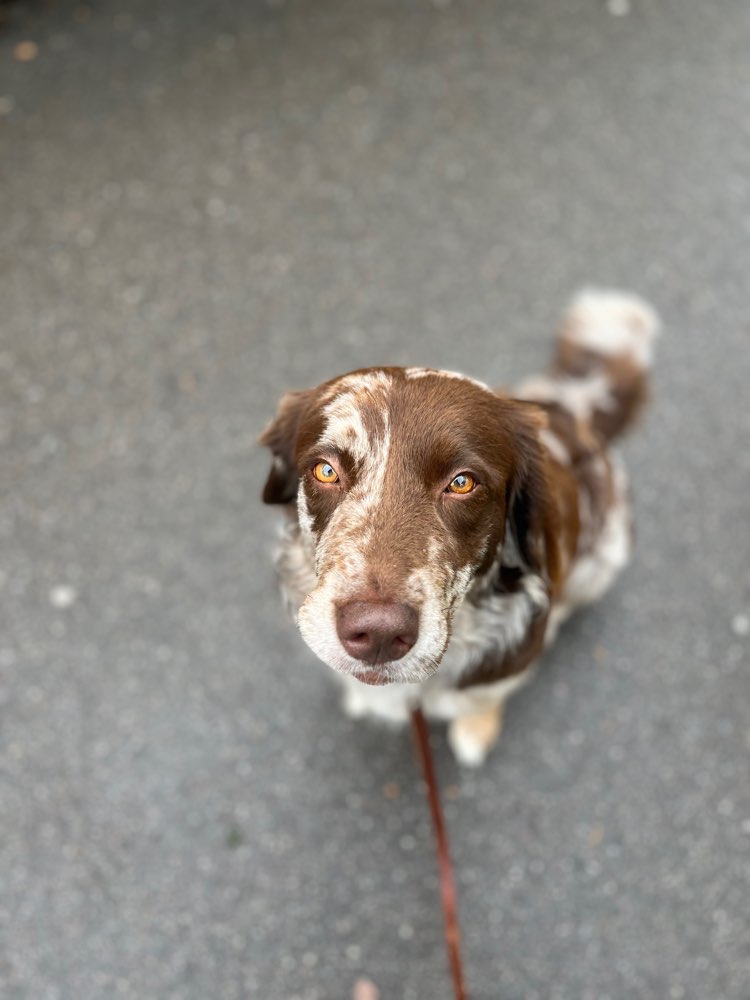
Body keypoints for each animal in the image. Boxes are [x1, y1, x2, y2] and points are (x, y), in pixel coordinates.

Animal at [262, 292, 660, 764]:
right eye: (325, 470)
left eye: (462, 482)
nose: (378, 633)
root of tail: (575, 407)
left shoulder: (505, 665)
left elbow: (483, 699)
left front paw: (475, 729)